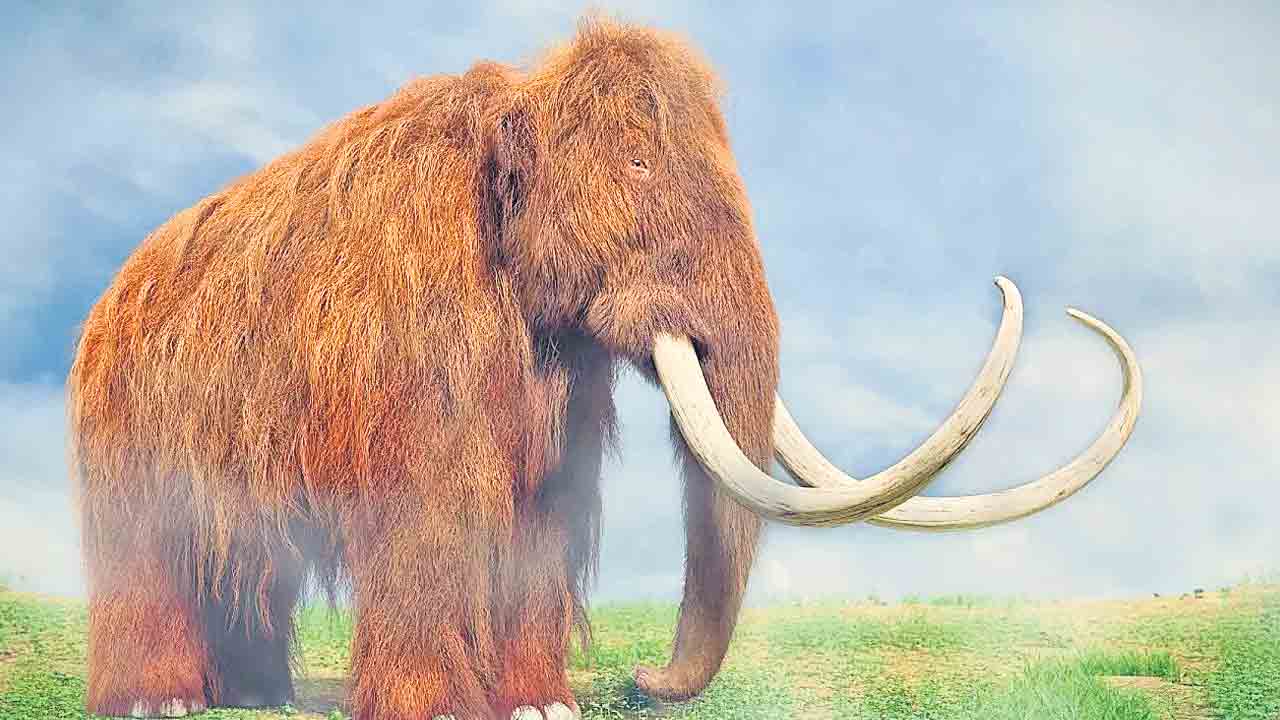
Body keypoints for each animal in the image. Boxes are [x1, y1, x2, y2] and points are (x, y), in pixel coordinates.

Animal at [67, 17, 1142, 720]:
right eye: (636, 166)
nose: (644, 682)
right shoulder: (419, 340)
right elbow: (431, 517)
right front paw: (433, 707)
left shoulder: (566, 365)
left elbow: (544, 513)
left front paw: (541, 707)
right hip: (120, 428)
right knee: (145, 552)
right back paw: (160, 702)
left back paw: (261, 692)